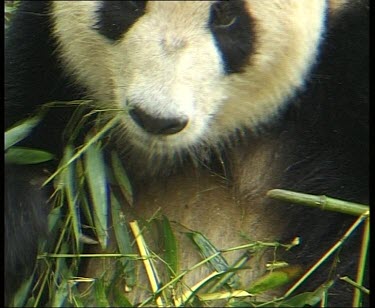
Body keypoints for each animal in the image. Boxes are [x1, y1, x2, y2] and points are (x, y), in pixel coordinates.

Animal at [5, 0, 370, 306]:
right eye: (129, 2)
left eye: (226, 15)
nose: (156, 119)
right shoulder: (46, 65)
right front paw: (24, 219)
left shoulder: (346, 94)